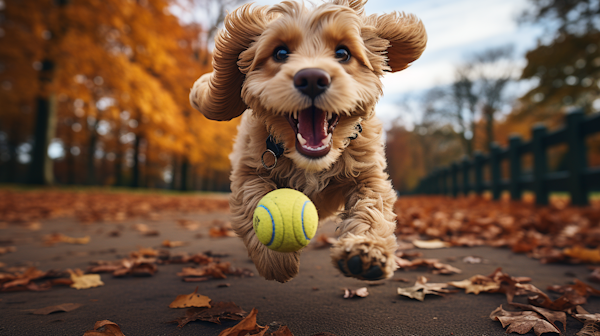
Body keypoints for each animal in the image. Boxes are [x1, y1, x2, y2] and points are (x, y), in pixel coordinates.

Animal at [189, 0, 426, 284]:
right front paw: (276, 259)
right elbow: (254, 195)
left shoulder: (368, 172)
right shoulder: (250, 166)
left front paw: (366, 252)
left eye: (343, 53)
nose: (312, 78)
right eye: (280, 52)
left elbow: (372, 207)